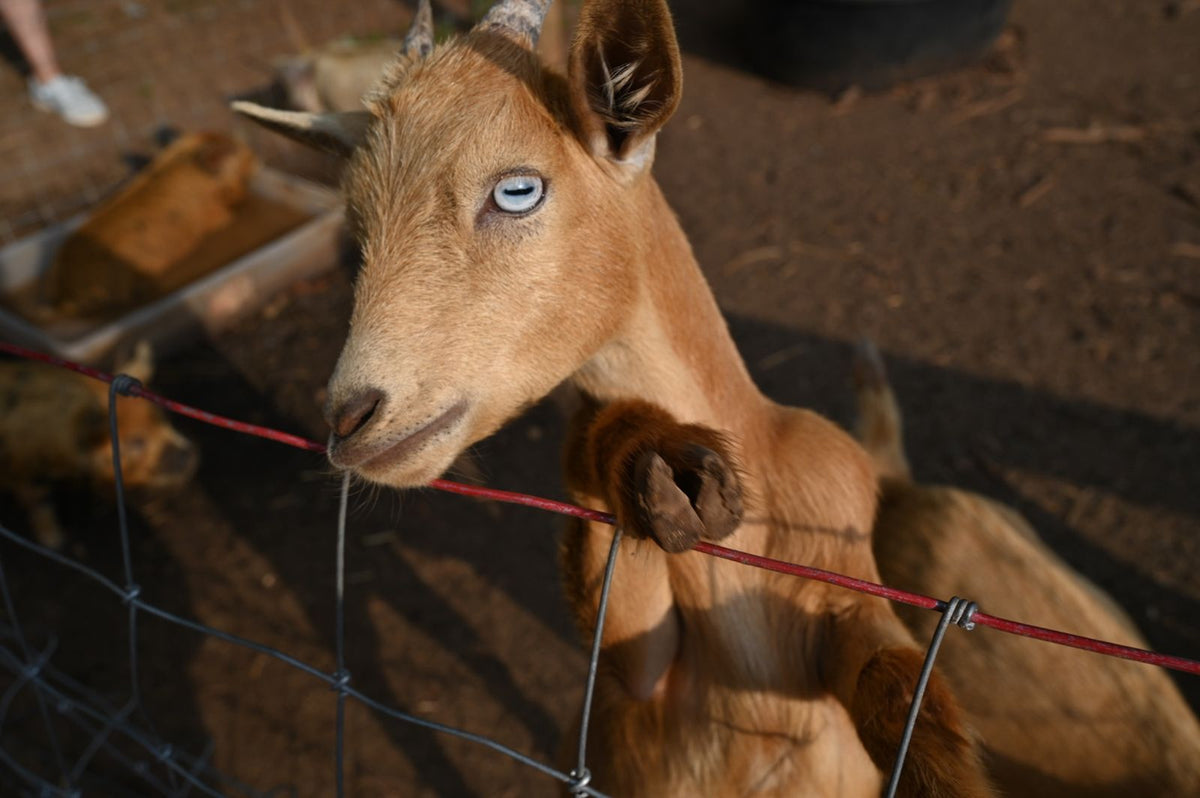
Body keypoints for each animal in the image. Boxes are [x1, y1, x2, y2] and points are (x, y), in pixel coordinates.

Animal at [233, 1, 993, 794]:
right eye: (356, 224)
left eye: (518, 189)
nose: (350, 417)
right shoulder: (642, 666)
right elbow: (625, 623)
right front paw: (649, 457)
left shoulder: (845, 583)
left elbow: (896, 686)